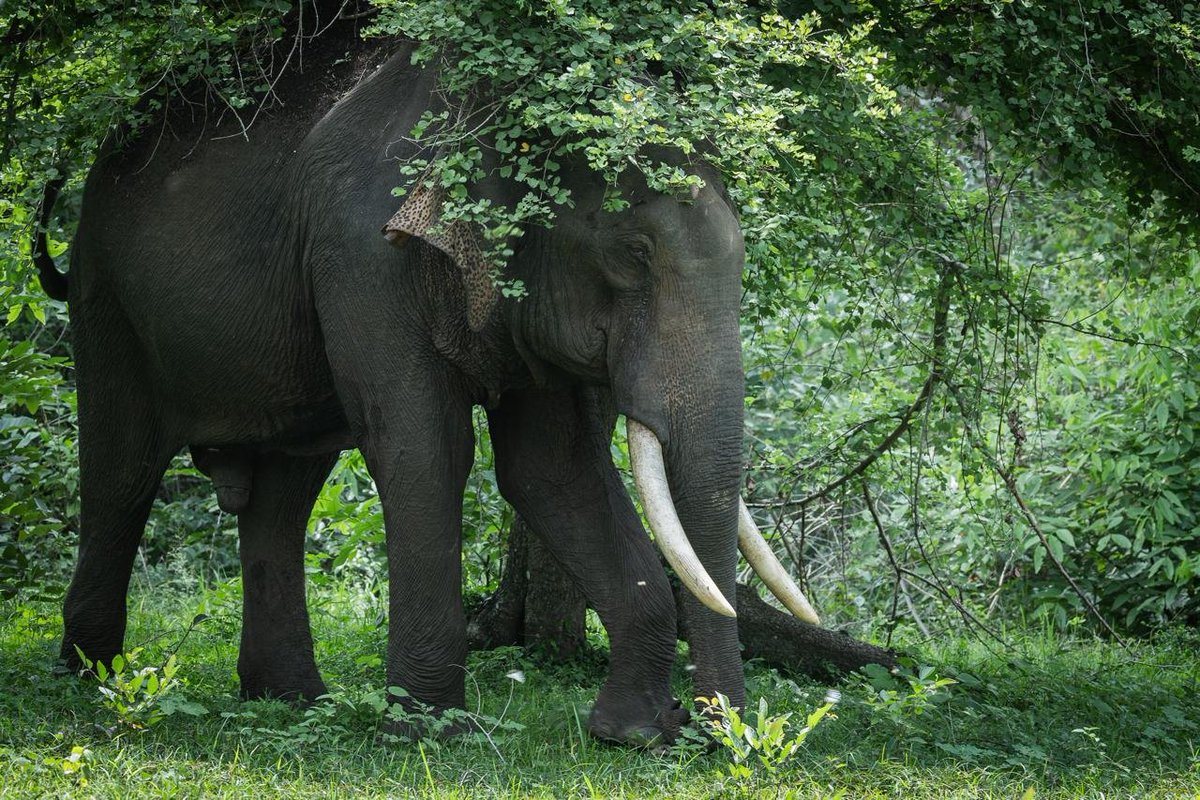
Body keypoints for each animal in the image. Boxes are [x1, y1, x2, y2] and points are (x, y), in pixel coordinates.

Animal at [36, 24, 817, 745]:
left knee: (285, 494)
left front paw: (632, 735)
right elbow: (425, 451)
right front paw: (430, 732)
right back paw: (92, 680)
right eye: (634, 253)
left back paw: (291, 701)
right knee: (121, 472)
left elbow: (551, 471)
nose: (717, 733)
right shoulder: (362, 254)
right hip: (106, 297)